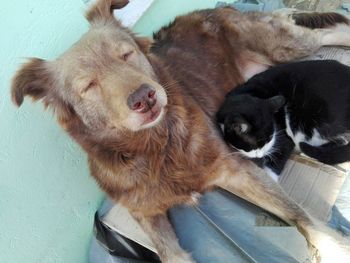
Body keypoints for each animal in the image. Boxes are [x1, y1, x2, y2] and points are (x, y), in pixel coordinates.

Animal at [217, 60, 350, 182]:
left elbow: (279, 155)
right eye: (255, 144)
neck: (254, 94)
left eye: (269, 140)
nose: (261, 155)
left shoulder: (283, 135)